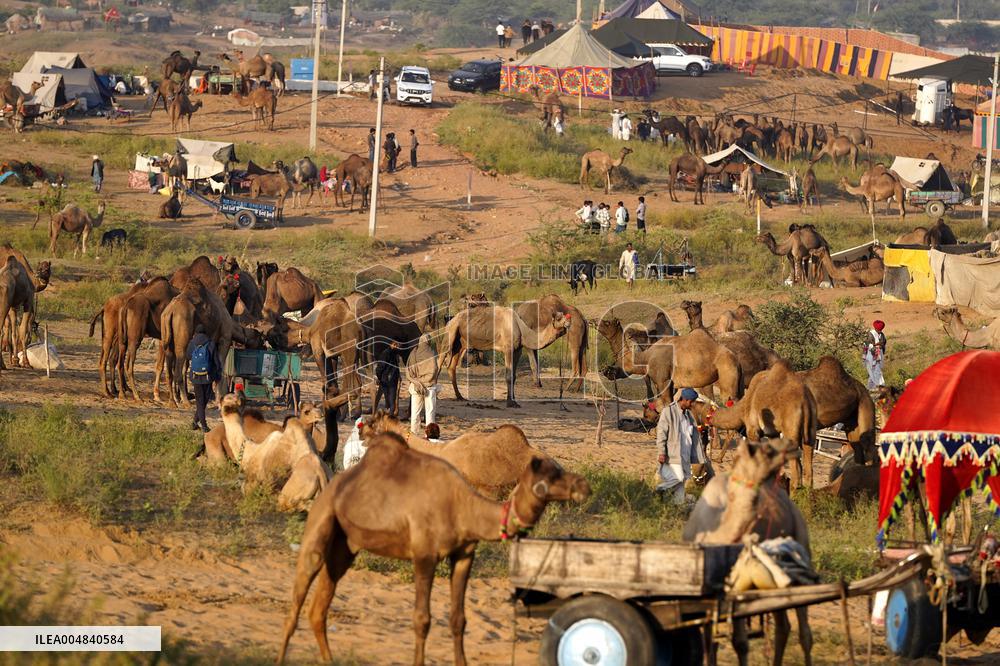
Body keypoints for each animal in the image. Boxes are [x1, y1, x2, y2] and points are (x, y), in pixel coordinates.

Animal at [277, 432, 590, 665]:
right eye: (552, 476)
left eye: (560, 469)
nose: (583, 485)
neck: (463, 506)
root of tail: (333, 481)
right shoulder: (424, 555)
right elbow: (422, 619)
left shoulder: (464, 554)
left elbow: (458, 619)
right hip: (320, 523)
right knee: (298, 594)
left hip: (345, 546)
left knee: (319, 607)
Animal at [439, 305, 571, 407]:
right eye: (559, 318)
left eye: (567, 317)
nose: (568, 323)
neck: (521, 328)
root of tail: (451, 319)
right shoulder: (508, 349)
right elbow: (509, 376)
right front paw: (510, 403)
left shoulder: (517, 350)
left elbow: (514, 376)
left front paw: (514, 401)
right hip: (450, 333)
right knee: (441, 359)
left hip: (461, 343)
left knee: (451, 366)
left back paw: (460, 396)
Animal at [596, 317, 742, 408]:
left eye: (607, 323)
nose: (595, 321)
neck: (646, 357)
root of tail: (736, 360)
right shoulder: (670, 383)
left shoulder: (663, 380)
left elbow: (665, 404)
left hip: (727, 377)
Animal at [684, 439, 813, 666]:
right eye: (766, 448)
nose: (791, 444)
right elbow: (710, 641)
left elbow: (740, 642)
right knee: (783, 626)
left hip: (801, 541)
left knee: (804, 631)